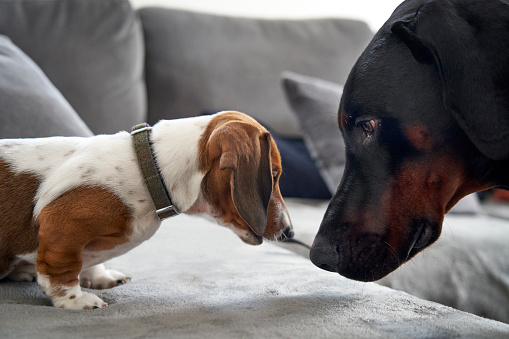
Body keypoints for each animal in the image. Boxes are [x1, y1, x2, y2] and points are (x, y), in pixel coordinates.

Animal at [0, 111, 292, 310]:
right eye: (274, 175)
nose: (290, 232)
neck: (152, 171)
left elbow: (88, 261)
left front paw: (99, 277)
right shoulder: (64, 224)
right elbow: (63, 267)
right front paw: (75, 299)